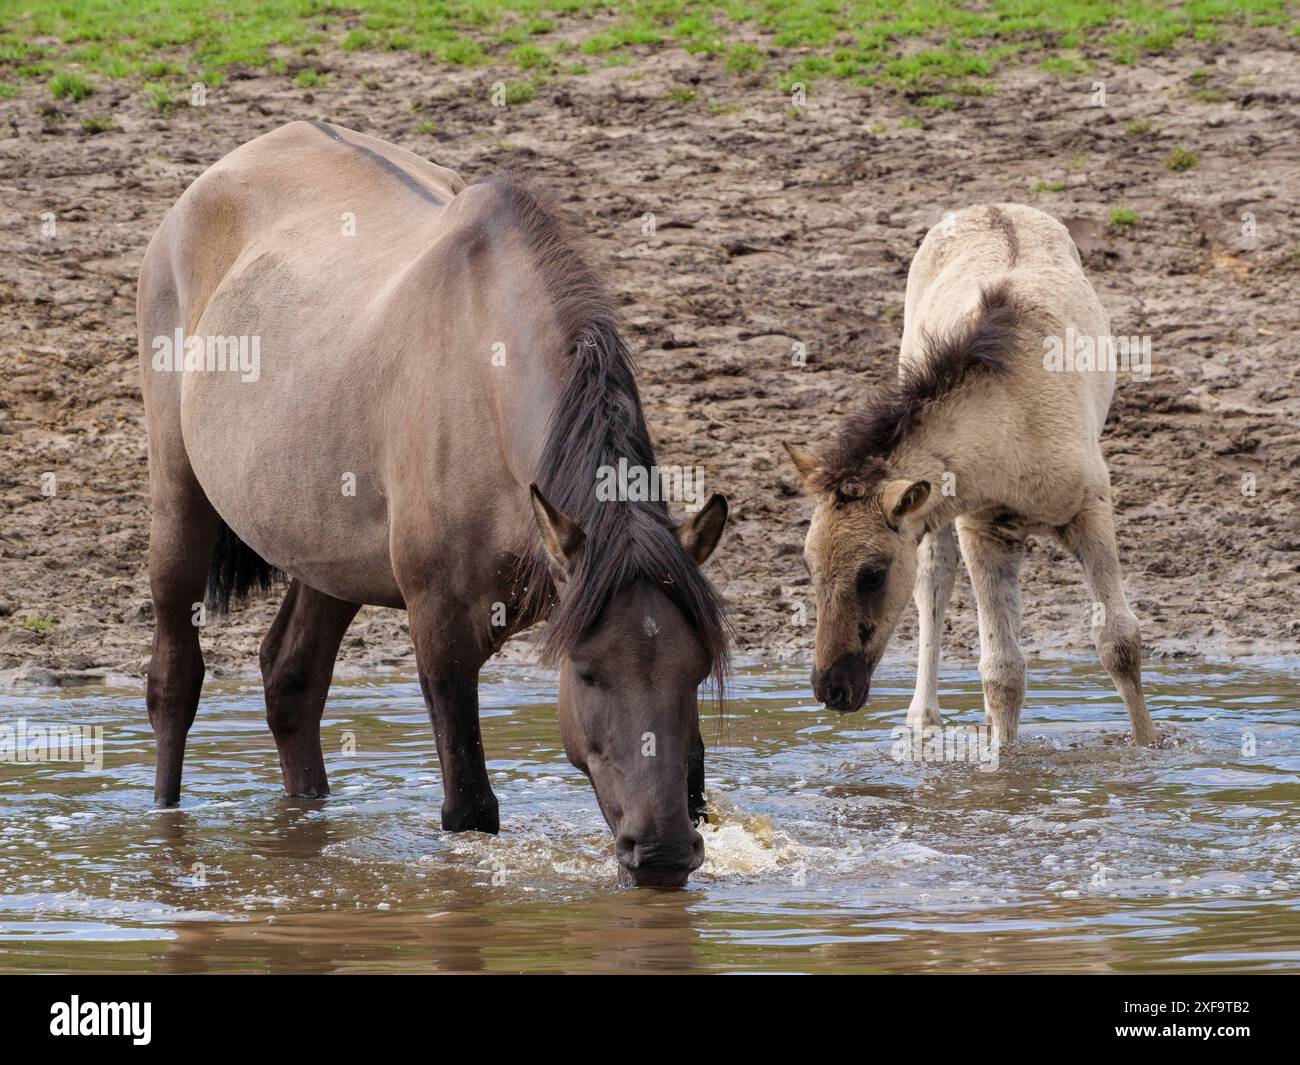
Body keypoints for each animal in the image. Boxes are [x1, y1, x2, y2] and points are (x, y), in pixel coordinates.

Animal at [138, 120, 730, 888]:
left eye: (697, 669)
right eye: (587, 672)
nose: (658, 854)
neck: (488, 383)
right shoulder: (440, 630)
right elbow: (470, 809)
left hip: (329, 559)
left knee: (290, 682)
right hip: (179, 503)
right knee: (174, 682)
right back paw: (163, 824)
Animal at [785, 203, 1158, 748]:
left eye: (873, 574)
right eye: (809, 567)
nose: (831, 689)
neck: (1013, 421)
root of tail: (992, 207)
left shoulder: (1091, 511)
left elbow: (1119, 642)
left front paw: (1149, 747)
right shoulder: (980, 528)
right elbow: (1001, 670)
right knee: (932, 587)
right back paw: (922, 718)